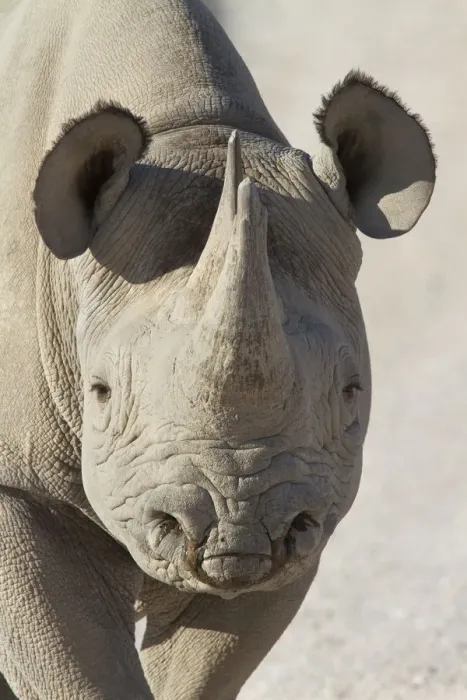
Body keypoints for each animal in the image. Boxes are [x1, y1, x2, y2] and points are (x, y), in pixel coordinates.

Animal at [0, 0, 435, 698]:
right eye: (100, 393)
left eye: (352, 393)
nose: (235, 524)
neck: (189, 134)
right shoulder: (19, 490)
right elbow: (81, 669)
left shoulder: (305, 499)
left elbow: (202, 671)